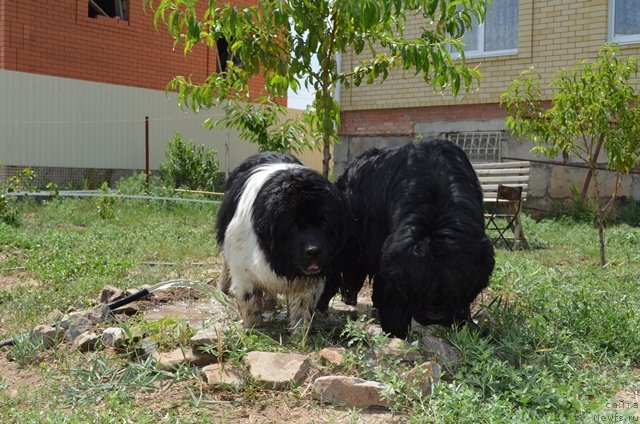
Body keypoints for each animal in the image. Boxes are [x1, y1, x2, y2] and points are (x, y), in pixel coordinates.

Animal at [216, 152, 350, 332]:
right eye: (292, 224)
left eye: (324, 222)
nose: (314, 250)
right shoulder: (243, 269)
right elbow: (249, 302)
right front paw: (254, 328)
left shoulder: (306, 280)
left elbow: (301, 308)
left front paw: (299, 332)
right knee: (226, 263)